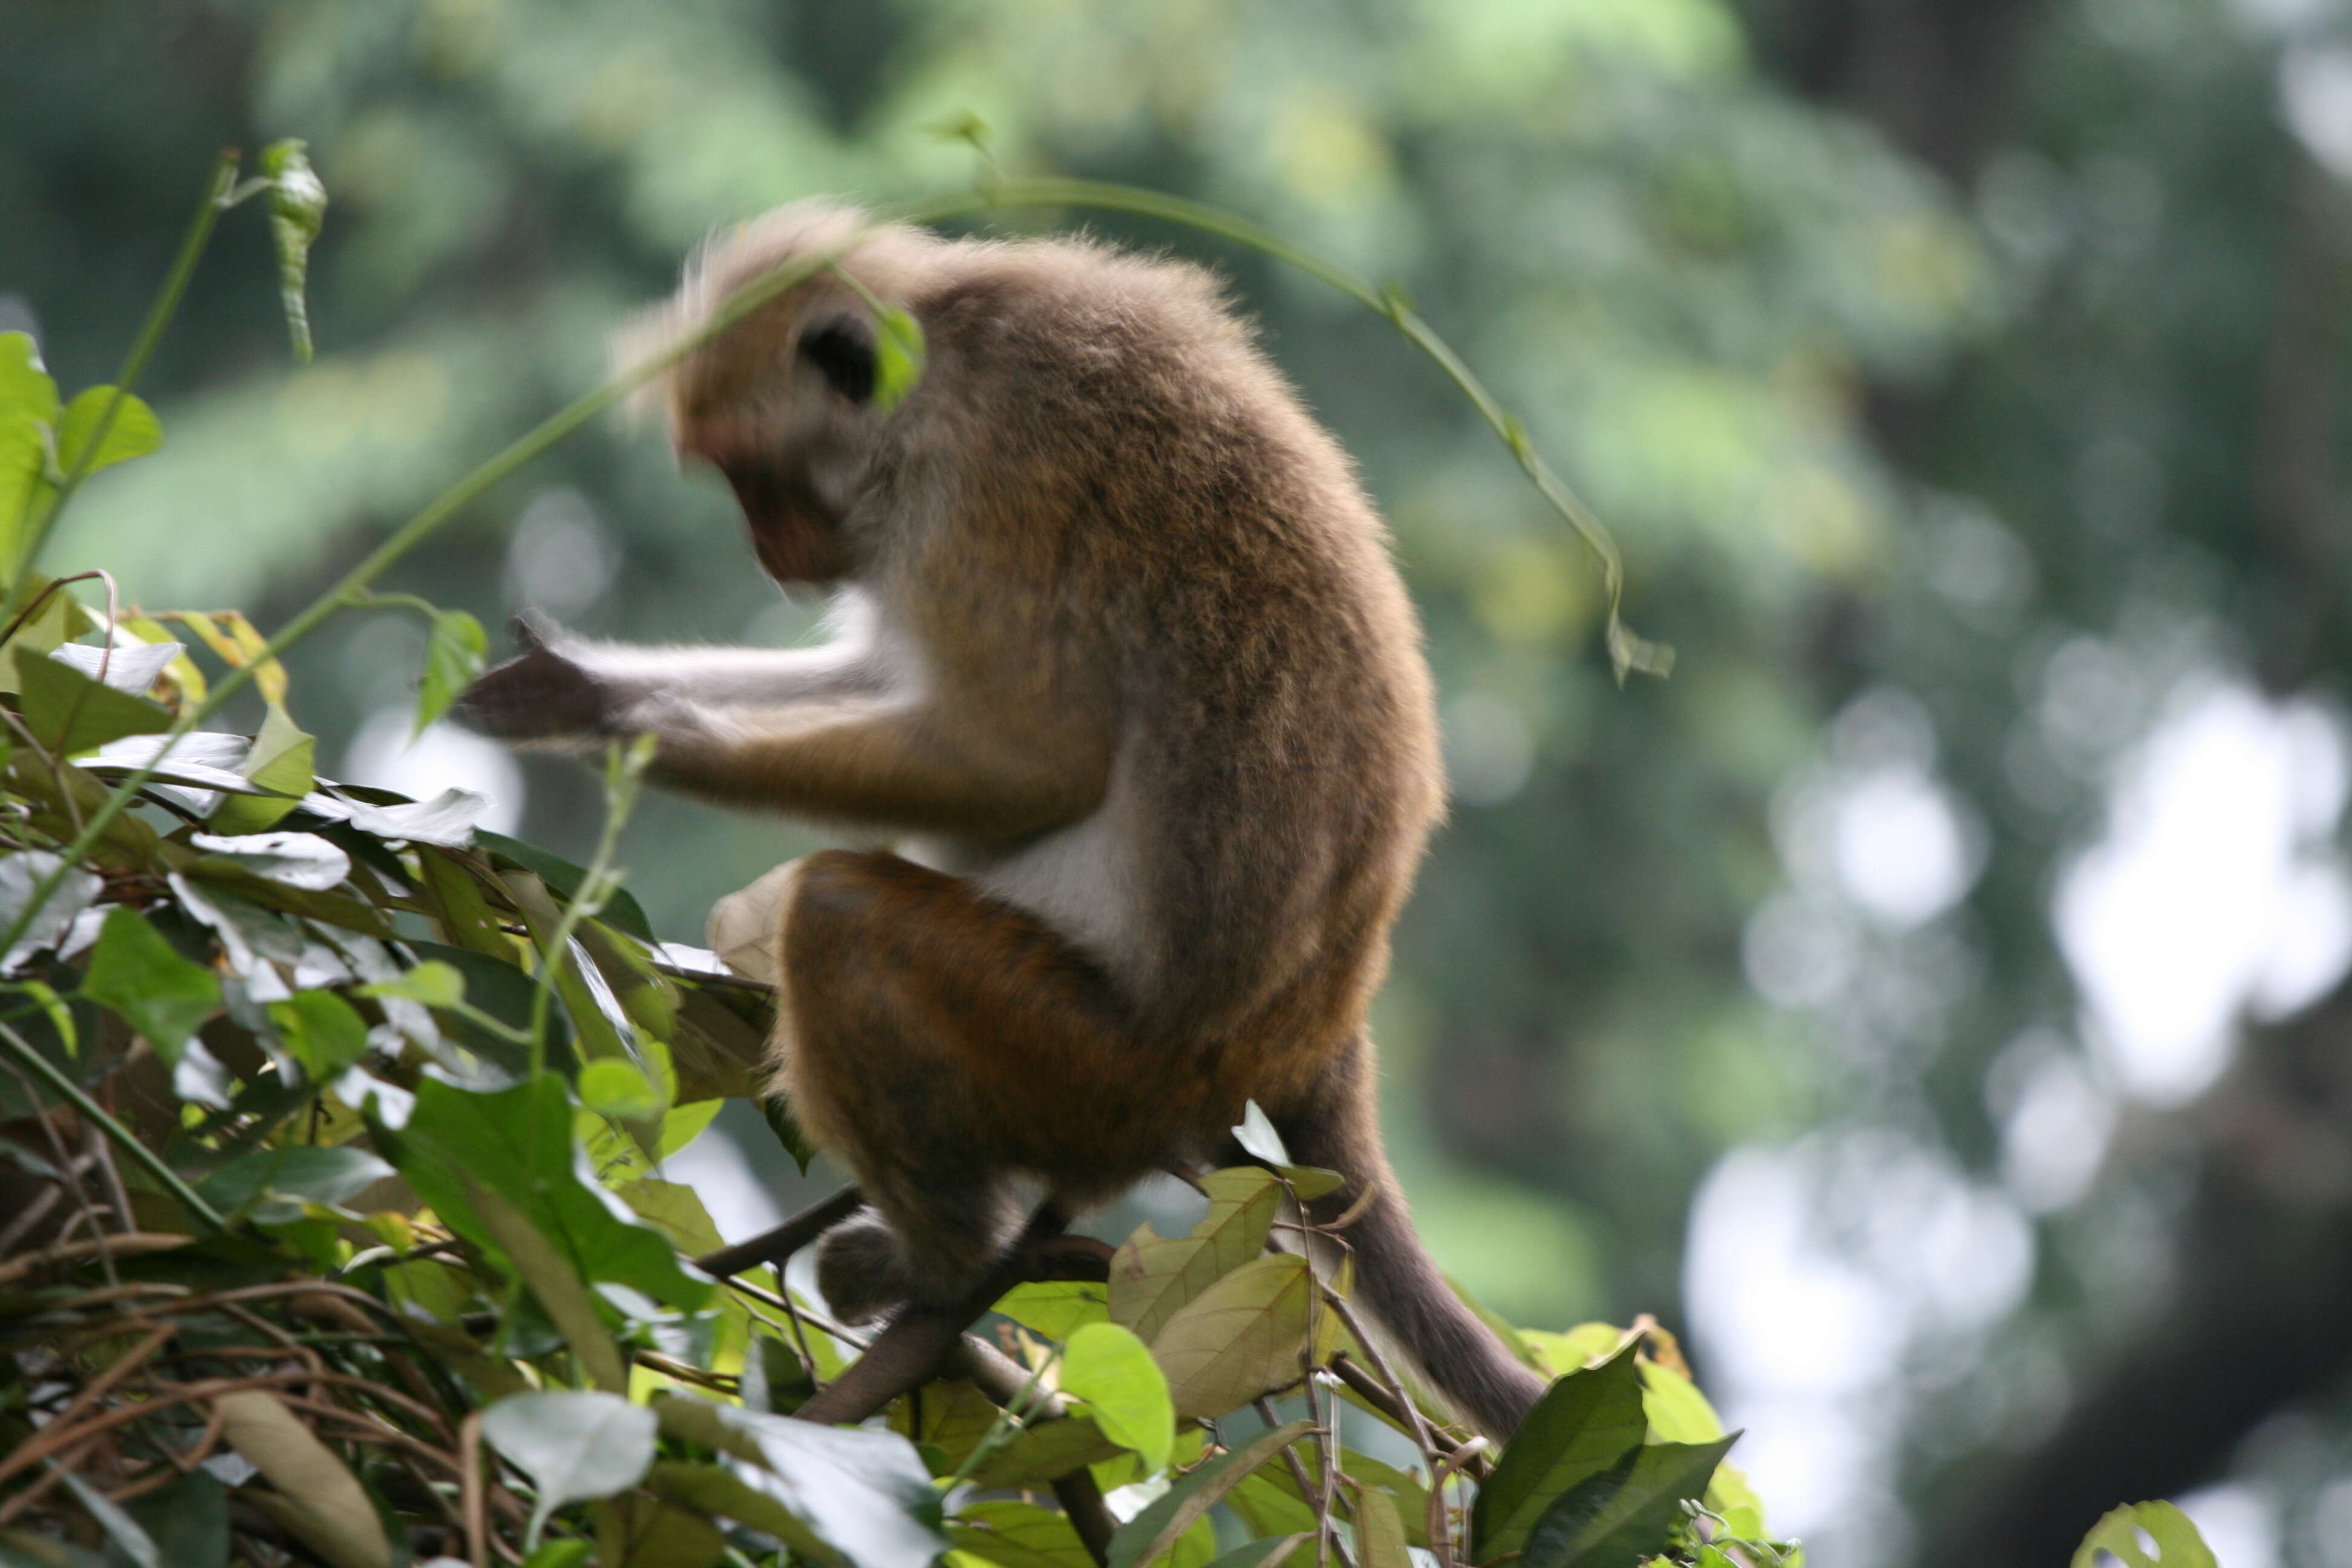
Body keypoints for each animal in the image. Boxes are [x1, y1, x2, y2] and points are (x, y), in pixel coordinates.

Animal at [463, 202, 1543, 1439]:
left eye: (754, 473)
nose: (770, 556)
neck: (941, 351)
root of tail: (1314, 1035)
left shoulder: (984, 475)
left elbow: (1035, 761)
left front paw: (638, 729)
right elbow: (887, 677)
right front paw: (587, 690)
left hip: (1092, 1067)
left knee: (842, 916)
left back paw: (946, 1271)